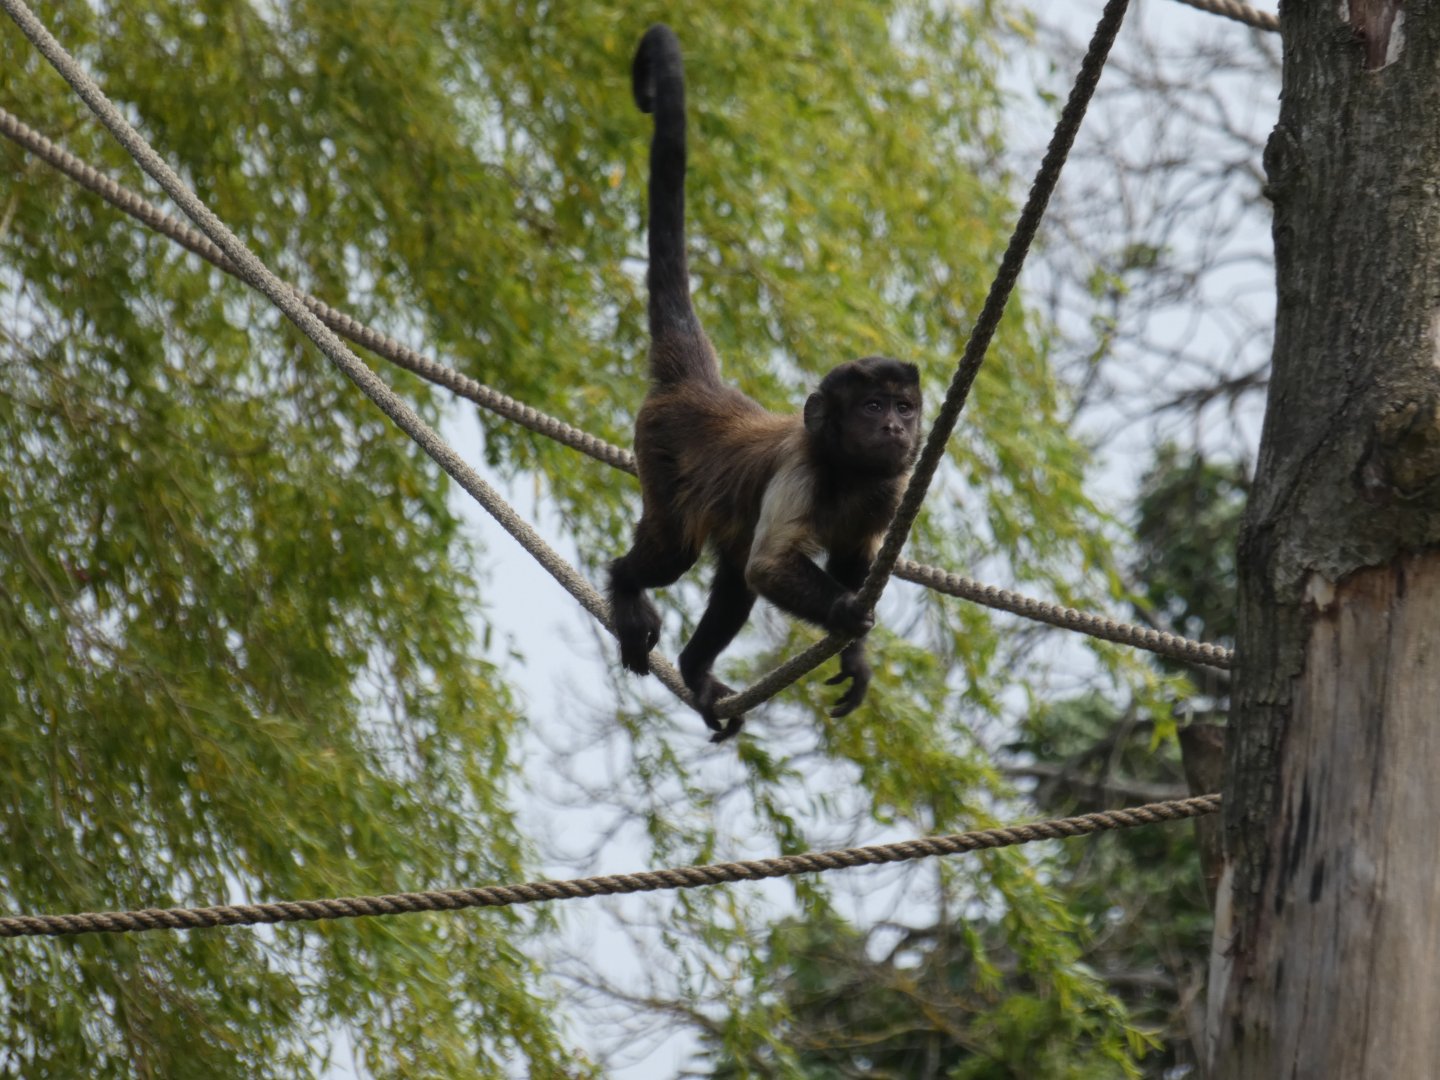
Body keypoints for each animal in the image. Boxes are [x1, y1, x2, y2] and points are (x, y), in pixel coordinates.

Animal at [608, 24, 922, 743]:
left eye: (904, 407)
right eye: (872, 406)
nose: (896, 427)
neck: (846, 472)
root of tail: (704, 391)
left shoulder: (886, 491)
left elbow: (848, 560)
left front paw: (856, 652)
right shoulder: (801, 468)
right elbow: (770, 564)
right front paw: (847, 614)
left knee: (730, 582)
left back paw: (694, 671)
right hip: (656, 448)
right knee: (674, 553)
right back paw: (624, 587)